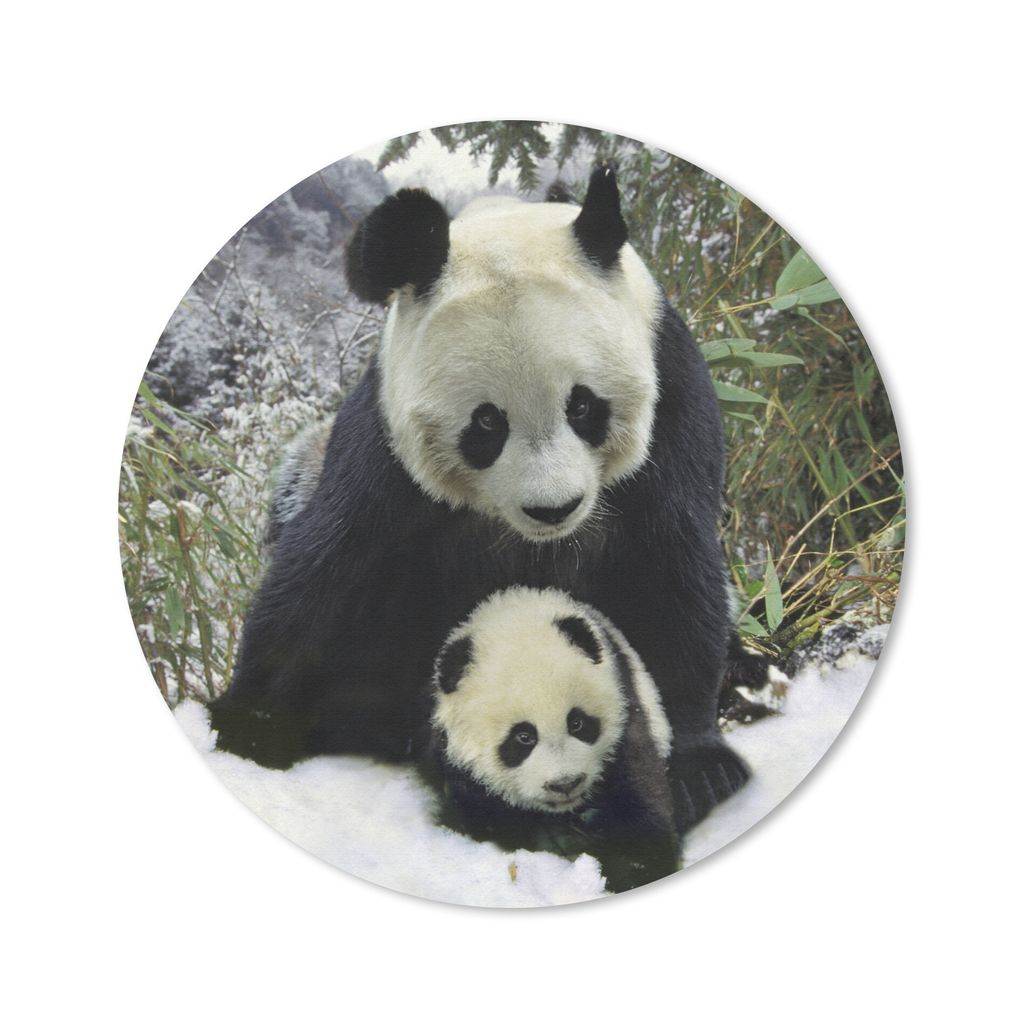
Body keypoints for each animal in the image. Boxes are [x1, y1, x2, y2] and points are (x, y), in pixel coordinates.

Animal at [209, 166, 749, 832]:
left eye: (583, 406)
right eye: (487, 423)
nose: (553, 509)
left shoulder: (672, 399)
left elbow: (670, 568)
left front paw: (700, 766)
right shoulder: (386, 449)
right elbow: (325, 572)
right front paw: (248, 722)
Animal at [424, 586, 679, 893]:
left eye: (577, 723)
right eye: (523, 737)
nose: (565, 784)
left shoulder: (626, 721)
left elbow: (641, 808)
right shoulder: (459, 767)